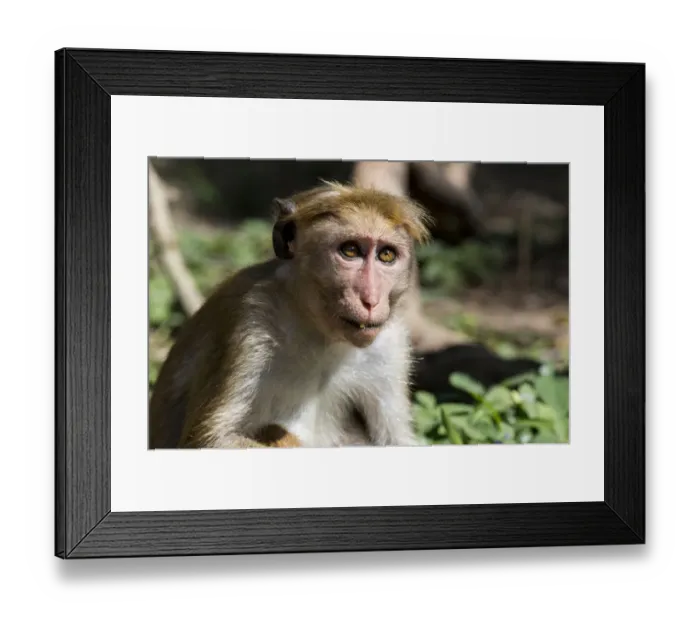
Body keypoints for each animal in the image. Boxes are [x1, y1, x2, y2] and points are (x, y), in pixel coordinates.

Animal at [148, 181, 433, 450]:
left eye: (386, 255)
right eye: (350, 251)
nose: (371, 300)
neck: (319, 331)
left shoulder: (390, 345)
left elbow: (396, 439)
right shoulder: (251, 318)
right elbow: (209, 440)